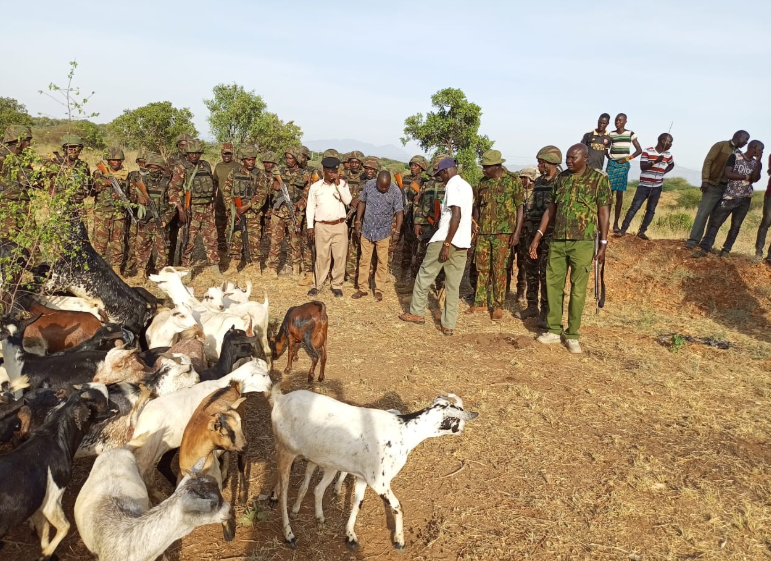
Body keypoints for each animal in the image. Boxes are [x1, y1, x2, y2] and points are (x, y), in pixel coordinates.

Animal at [0, 382, 112, 556]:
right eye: (103, 402)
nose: (116, 408)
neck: (55, 438)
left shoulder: (39, 504)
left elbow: (44, 529)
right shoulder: (52, 499)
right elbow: (65, 526)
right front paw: (47, 553)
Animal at [179, 382, 246, 540]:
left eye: (239, 426)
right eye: (225, 432)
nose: (245, 446)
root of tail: (231, 387)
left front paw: (228, 533)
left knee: (240, 464)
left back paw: (241, 496)